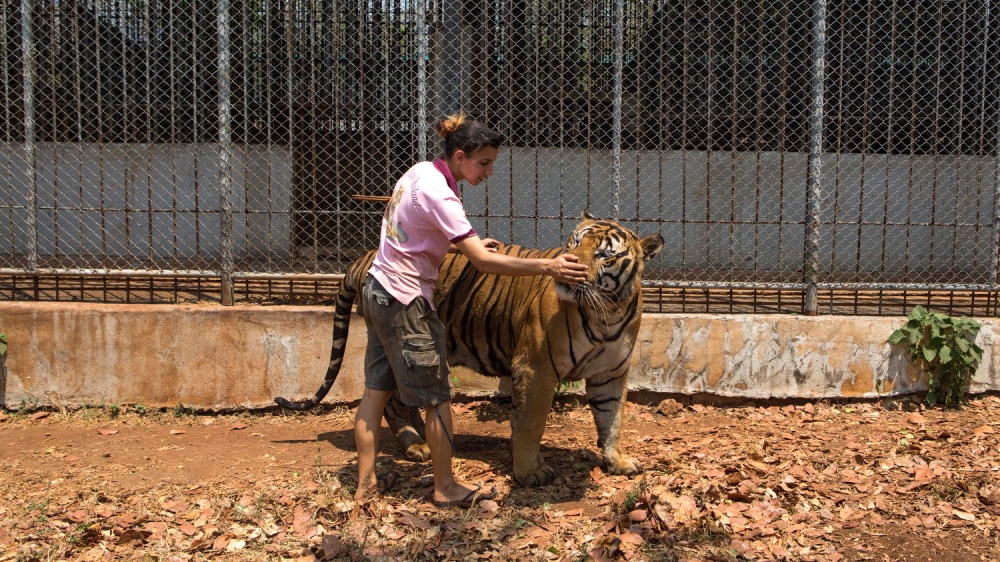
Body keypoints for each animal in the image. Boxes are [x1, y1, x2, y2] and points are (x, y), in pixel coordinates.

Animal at [275, 213, 664, 487]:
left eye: (604, 255)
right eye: (574, 240)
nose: (569, 265)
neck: (608, 311)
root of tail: (369, 255)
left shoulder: (611, 373)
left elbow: (612, 419)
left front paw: (617, 461)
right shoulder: (535, 368)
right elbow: (530, 423)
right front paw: (529, 473)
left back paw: (425, 439)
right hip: (404, 340)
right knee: (395, 401)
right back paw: (416, 446)